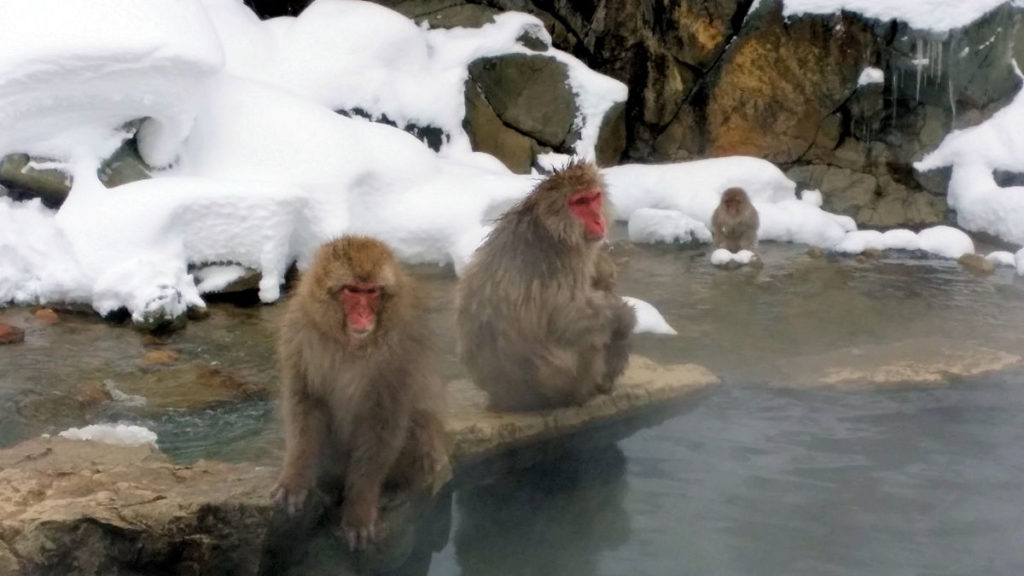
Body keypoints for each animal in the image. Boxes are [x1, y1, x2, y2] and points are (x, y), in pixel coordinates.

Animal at [272, 235, 448, 549]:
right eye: (352, 291)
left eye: (373, 291)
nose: (363, 314)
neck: (350, 343)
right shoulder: (297, 332)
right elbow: (304, 403)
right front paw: (295, 480)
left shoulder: (403, 349)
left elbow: (383, 422)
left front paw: (358, 511)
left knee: (419, 424)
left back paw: (398, 490)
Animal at [454, 158, 630, 409]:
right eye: (579, 202)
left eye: (594, 197)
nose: (598, 220)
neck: (552, 227)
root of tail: (505, 398)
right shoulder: (559, 259)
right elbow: (567, 316)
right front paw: (624, 317)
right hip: (564, 382)